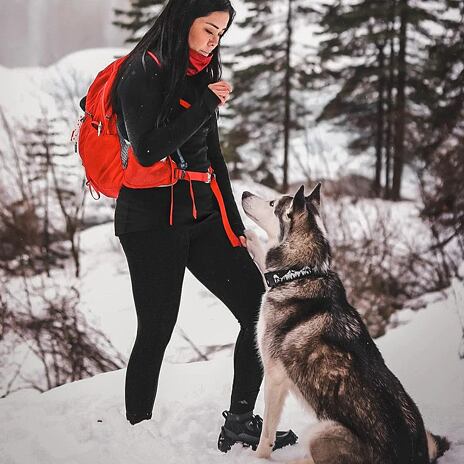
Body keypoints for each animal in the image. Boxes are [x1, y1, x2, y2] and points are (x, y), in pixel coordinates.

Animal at [241, 186, 448, 464]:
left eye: (272, 202)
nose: (243, 193)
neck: (303, 272)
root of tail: (414, 457)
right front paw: (253, 242)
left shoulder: (274, 377)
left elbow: (266, 435)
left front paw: (258, 458)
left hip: (321, 430)